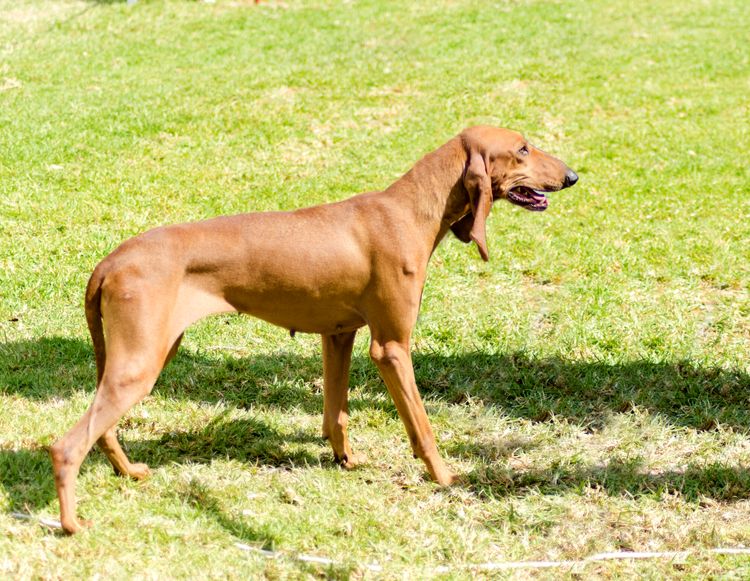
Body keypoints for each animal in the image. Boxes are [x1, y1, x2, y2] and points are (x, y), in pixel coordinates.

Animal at [50, 125, 580, 532]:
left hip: (140, 358)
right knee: (67, 445)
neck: (410, 209)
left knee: (102, 430)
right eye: (523, 148)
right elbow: (422, 428)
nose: (572, 176)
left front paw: (345, 459)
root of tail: (111, 260)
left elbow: (335, 414)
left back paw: (127, 471)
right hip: (140, 366)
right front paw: (446, 479)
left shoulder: (339, 335)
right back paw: (72, 524)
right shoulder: (391, 347)